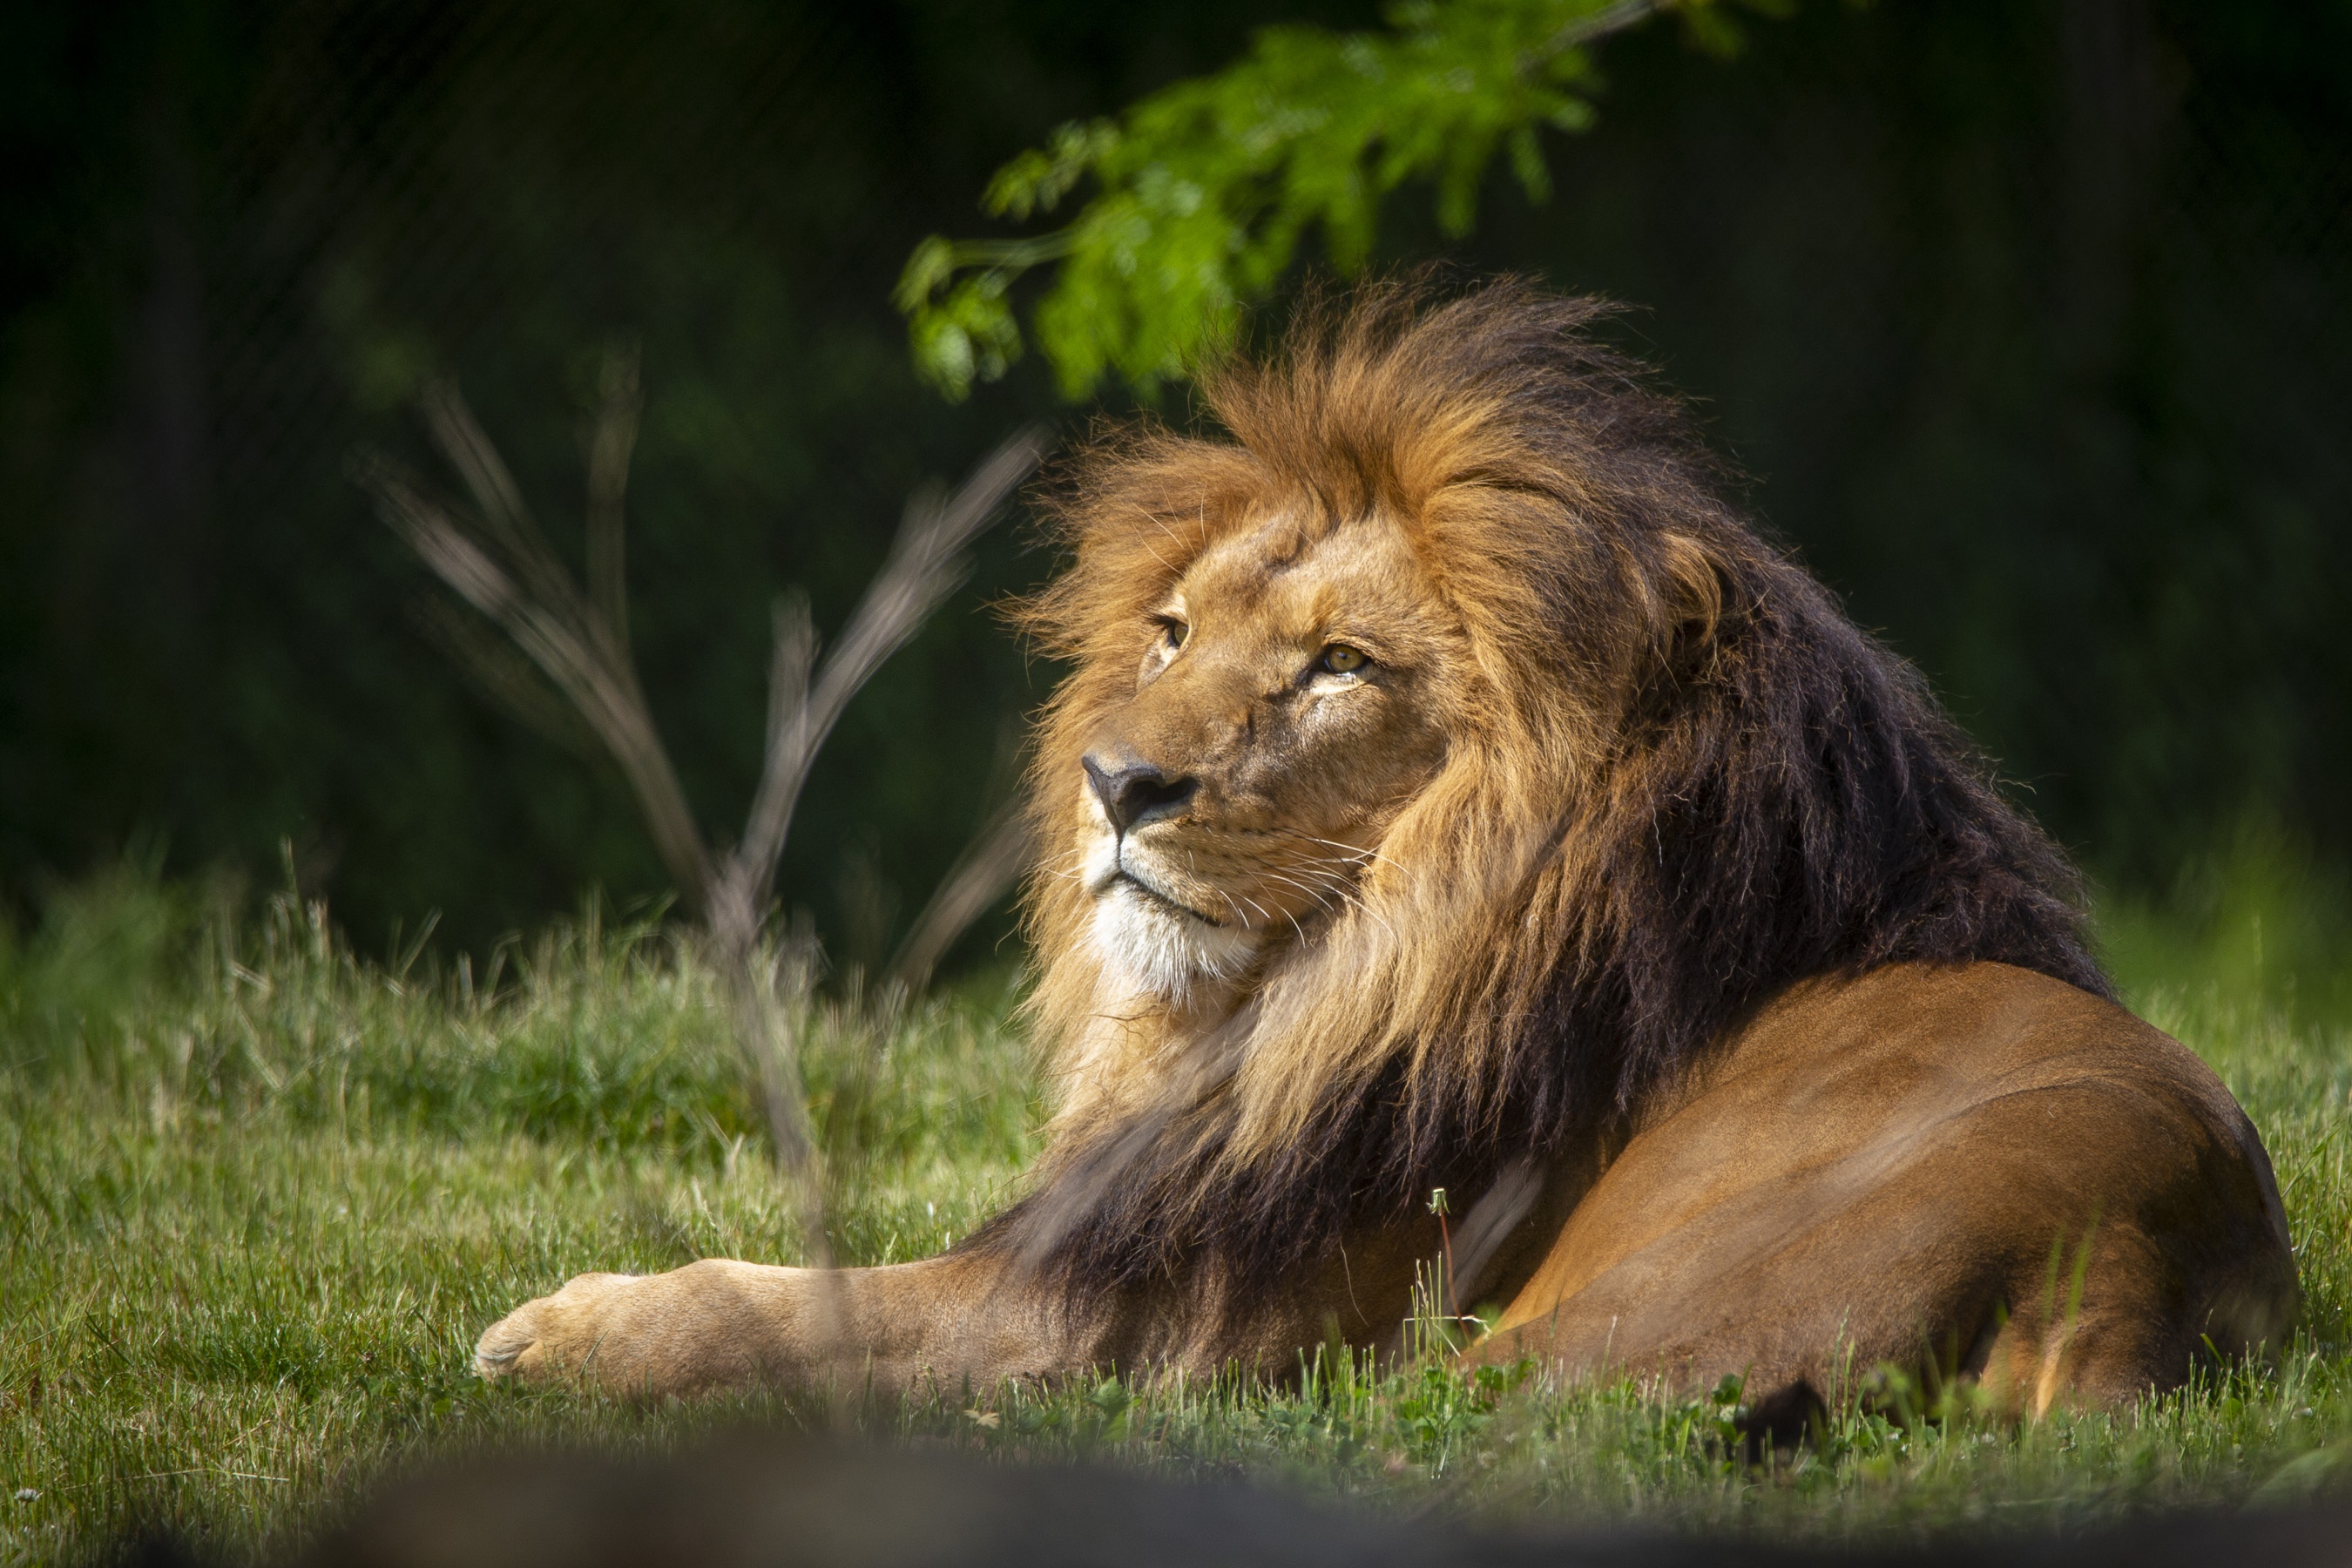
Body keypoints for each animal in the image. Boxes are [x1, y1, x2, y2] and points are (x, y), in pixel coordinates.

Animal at [477, 281, 2295, 1419]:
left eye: (1339, 667)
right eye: (1171, 632)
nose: (1113, 783)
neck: (1345, 965)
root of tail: (2135, 1250)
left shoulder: (1119, 1324)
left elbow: (791, 1298)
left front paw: (560, 1331)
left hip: (1541, 1353)